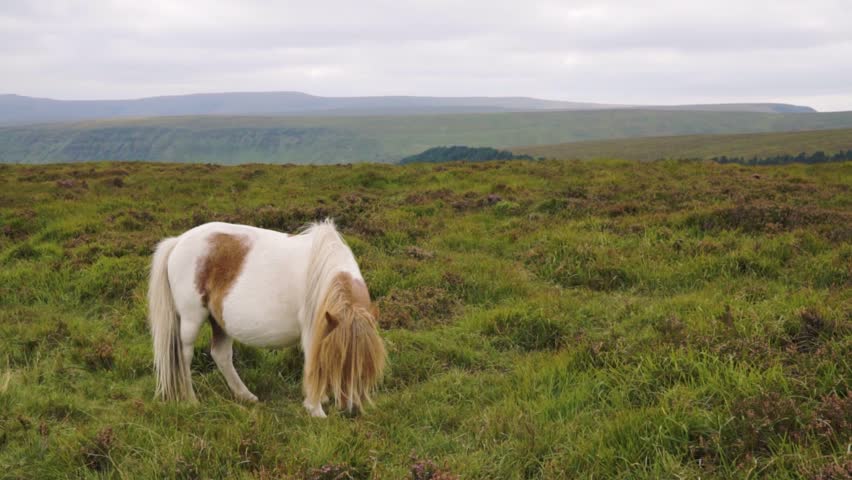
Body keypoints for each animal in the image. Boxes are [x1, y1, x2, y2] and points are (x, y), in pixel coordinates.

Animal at [147, 219, 386, 417]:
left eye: (367, 364)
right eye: (338, 361)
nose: (351, 410)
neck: (322, 270)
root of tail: (177, 242)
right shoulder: (312, 330)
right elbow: (312, 364)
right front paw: (316, 409)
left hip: (220, 322)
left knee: (221, 355)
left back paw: (245, 395)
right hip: (191, 320)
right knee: (185, 356)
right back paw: (191, 400)